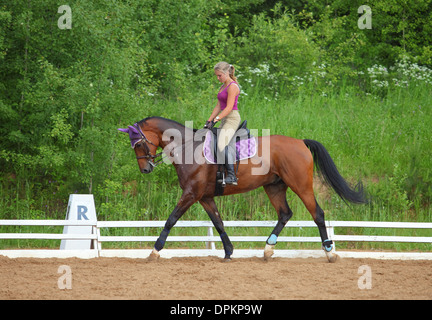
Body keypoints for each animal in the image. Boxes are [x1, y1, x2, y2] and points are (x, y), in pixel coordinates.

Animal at [119, 117, 368, 262]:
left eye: (139, 143)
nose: (145, 169)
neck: (189, 147)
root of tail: (300, 142)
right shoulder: (205, 197)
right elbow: (218, 222)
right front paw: (229, 251)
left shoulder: (191, 194)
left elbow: (171, 219)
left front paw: (155, 251)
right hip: (274, 187)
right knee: (285, 214)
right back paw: (268, 249)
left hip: (301, 185)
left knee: (318, 214)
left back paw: (330, 252)